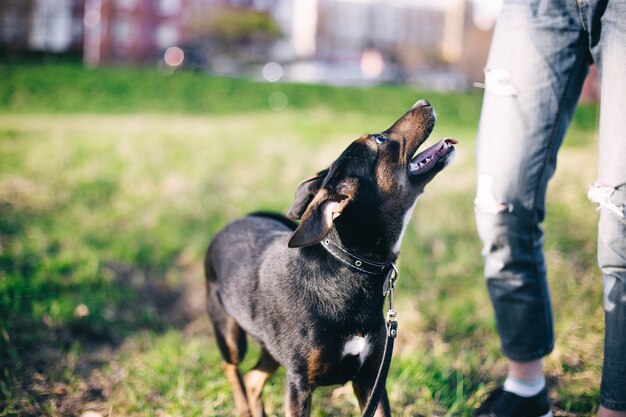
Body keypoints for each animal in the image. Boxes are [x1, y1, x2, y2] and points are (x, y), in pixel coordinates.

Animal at [205, 99, 454, 414]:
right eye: (379, 140)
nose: (423, 102)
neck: (349, 268)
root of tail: (239, 219)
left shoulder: (371, 379)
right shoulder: (299, 384)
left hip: (271, 348)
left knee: (252, 378)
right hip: (230, 334)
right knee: (232, 368)